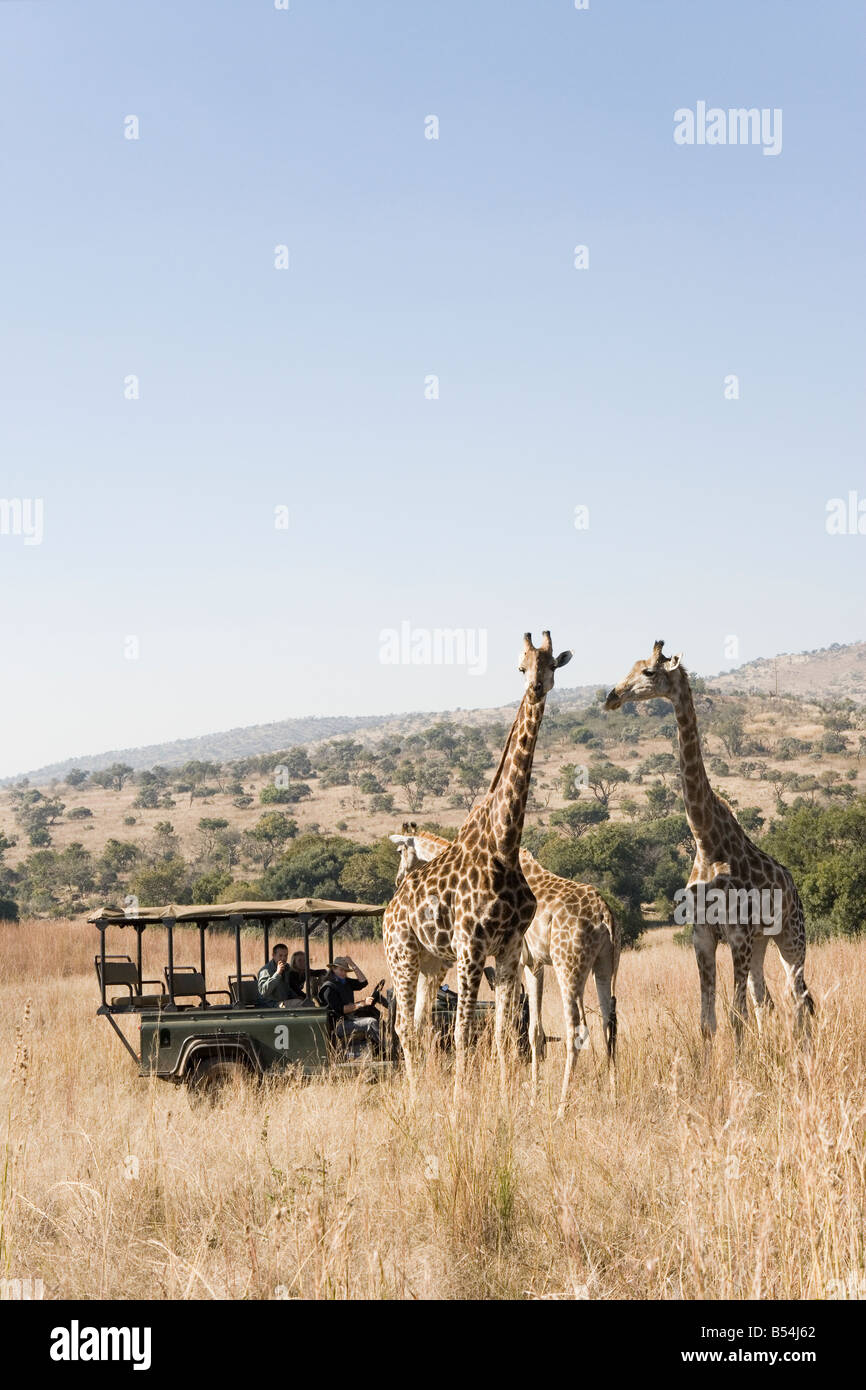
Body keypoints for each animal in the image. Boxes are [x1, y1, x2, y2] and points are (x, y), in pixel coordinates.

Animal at [382, 631, 572, 1091]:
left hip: (431, 962)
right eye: (521, 666)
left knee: (419, 1025)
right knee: (404, 1027)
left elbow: (503, 1033)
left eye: (551, 665)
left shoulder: (507, 950)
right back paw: (415, 1094)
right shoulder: (471, 947)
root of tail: (389, 910)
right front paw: (459, 1099)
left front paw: (505, 1095)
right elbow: (463, 1031)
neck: (503, 846)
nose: (536, 688)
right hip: (402, 955)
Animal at [391, 824, 620, 1114]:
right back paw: (612, 1096)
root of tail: (604, 915)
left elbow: (511, 1025)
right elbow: (534, 1032)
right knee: (608, 1024)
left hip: (568, 965)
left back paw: (561, 1107)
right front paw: (532, 1095)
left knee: (577, 1030)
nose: (398, 879)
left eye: (400, 850)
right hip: (606, 964)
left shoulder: (518, 960)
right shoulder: (534, 964)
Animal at [604, 640, 814, 1041]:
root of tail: (793, 884)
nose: (612, 696)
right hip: (762, 942)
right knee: (768, 1000)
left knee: (799, 999)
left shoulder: (737, 936)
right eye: (629, 667)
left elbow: (735, 1017)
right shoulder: (702, 936)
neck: (705, 840)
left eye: (648, 672)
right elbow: (708, 1021)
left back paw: (803, 1052)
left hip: (792, 936)